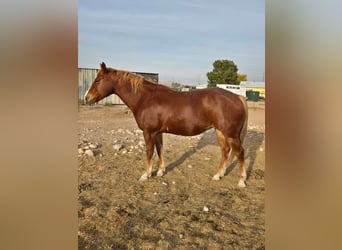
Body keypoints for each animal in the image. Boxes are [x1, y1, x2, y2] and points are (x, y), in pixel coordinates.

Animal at [84, 63, 247, 188]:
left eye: (98, 80)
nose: (87, 98)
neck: (145, 98)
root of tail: (237, 97)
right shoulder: (157, 132)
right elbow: (159, 149)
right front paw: (160, 171)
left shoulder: (149, 132)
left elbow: (149, 152)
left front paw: (146, 175)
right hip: (220, 132)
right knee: (225, 151)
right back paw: (218, 175)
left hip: (231, 135)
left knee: (240, 153)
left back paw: (241, 182)